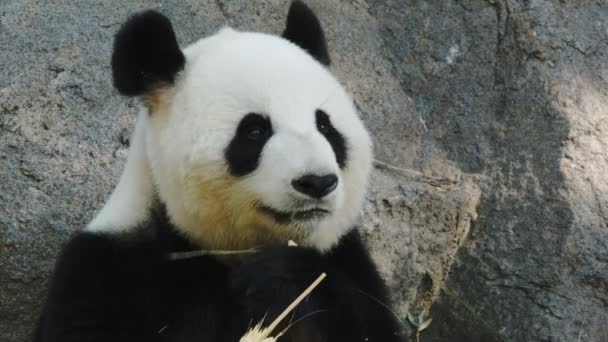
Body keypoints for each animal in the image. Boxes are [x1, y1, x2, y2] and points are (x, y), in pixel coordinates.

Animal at [34, 1, 404, 340]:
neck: (231, 251)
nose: (316, 182)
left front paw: (282, 276)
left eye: (325, 126)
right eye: (254, 131)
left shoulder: (348, 260)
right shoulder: (107, 273)